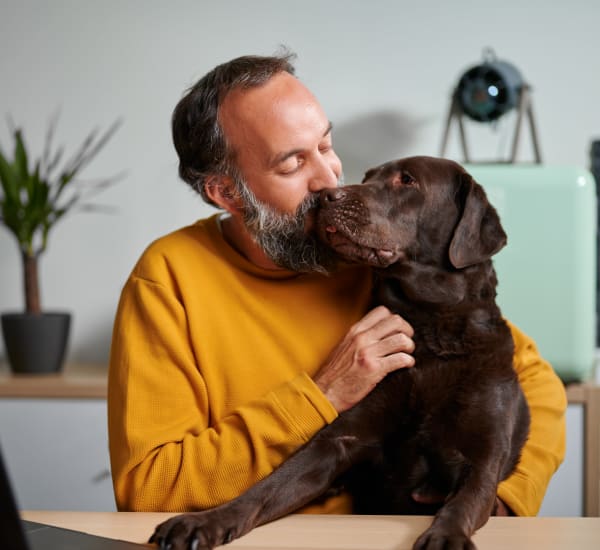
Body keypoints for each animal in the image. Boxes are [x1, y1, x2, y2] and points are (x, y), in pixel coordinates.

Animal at [150, 156, 528, 550]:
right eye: (368, 177)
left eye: (407, 180)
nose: (326, 197)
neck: (432, 329)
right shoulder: (336, 442)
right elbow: (265, 488)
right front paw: (205, 520)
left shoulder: (482, 459)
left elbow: (463, 503)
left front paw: (445, 537)